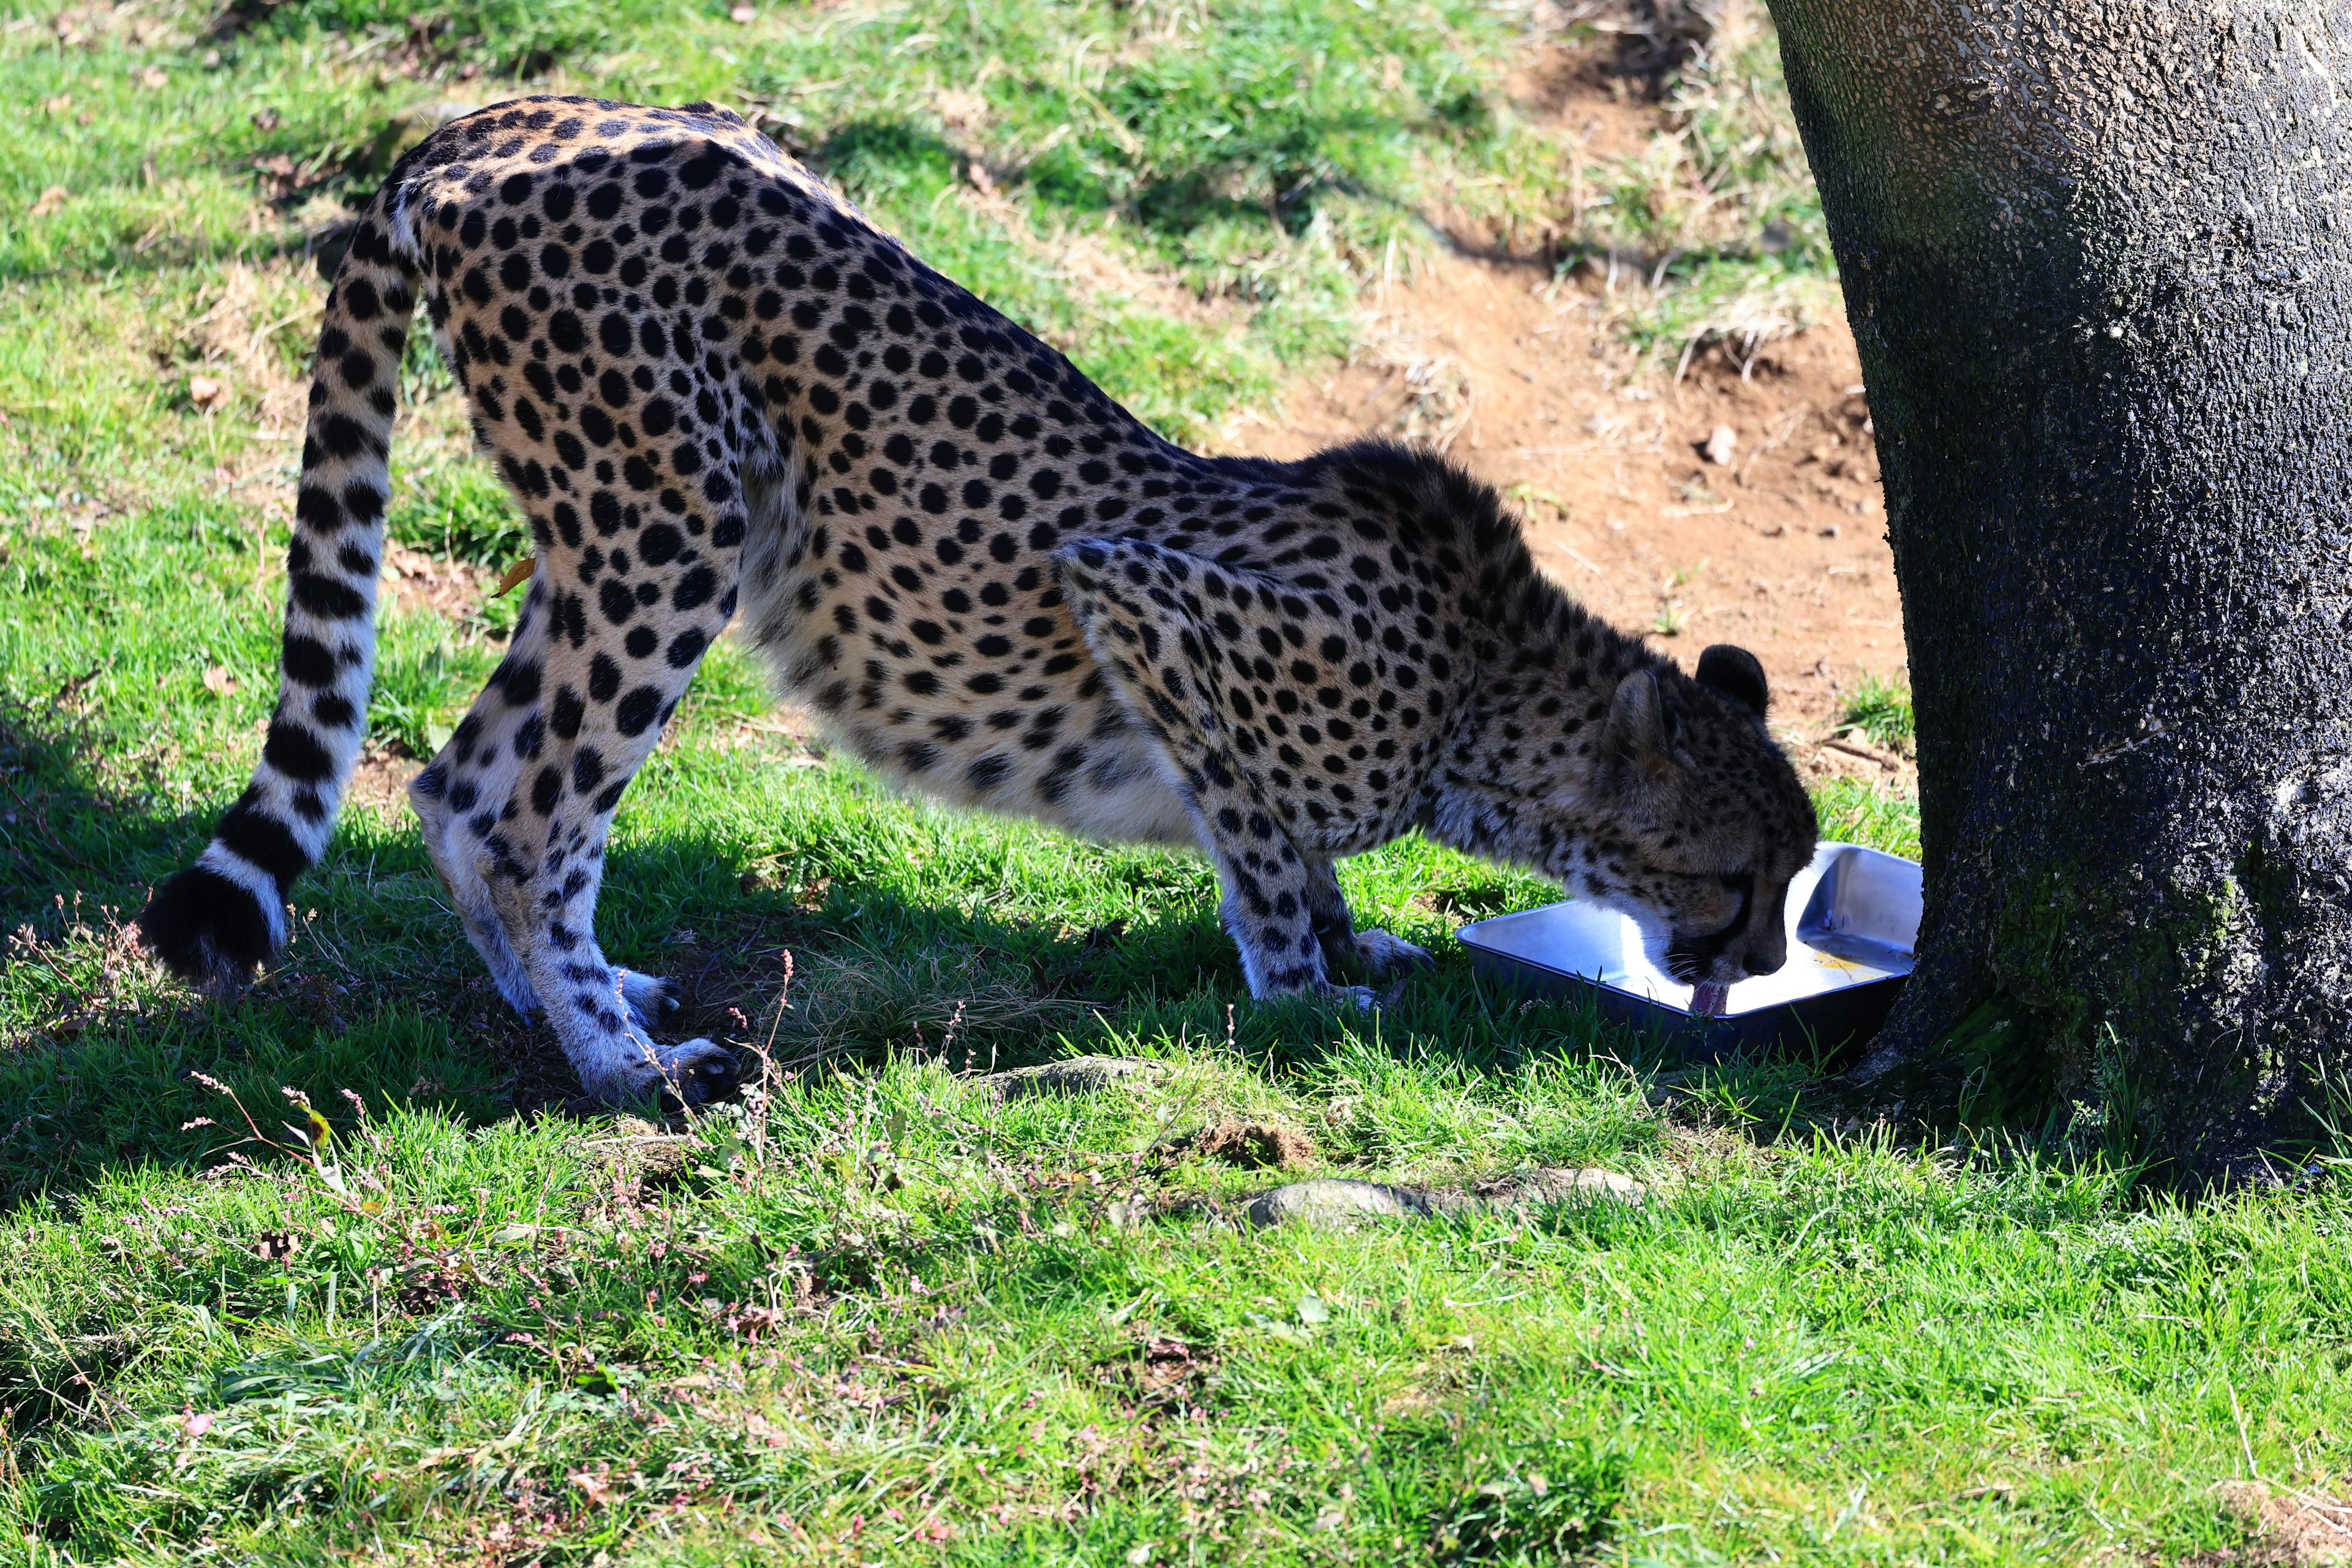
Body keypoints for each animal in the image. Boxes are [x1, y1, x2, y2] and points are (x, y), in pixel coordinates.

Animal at [137, 98, 1825, 1104]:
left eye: (1795, 881)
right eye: (1738, 875)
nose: (1753, 971)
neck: (1493, 685)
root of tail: (483, 123)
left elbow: (1302, 856)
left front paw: (1364, 953)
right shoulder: (1147, 607)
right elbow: (1262, 846)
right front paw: (1305, 994)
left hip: (601, 538)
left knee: (455, 779)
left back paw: (570, 1000)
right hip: (672, 532)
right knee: (534, 816)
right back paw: (628, 1071)